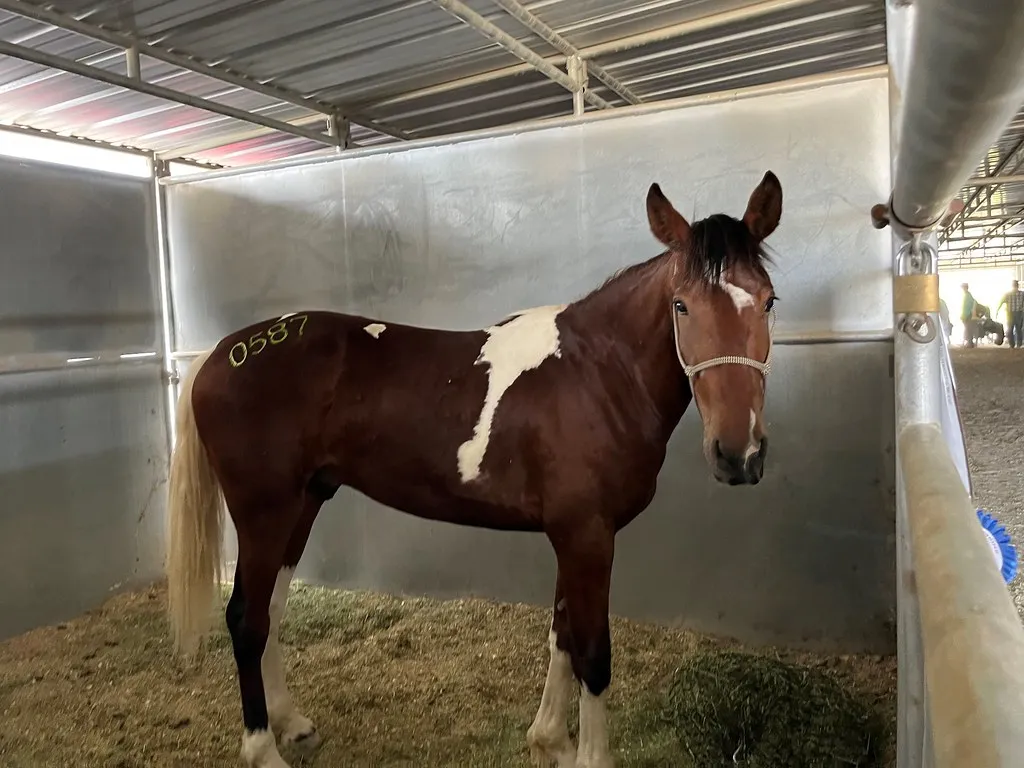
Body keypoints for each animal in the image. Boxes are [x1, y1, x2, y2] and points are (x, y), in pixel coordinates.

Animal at [165, 170, 783, 768]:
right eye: (682, 305)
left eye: (768, 301)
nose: (738, 453)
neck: (598, 373)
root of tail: (220, 353)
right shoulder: (588, 534)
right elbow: (593, 653)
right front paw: (587, 756)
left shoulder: (573, 534)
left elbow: (562, 634)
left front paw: (551, 741)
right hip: (263, 513)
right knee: (246, 619)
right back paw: (263, 750)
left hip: (303, 504)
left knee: (270, 610)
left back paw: (292, 724)